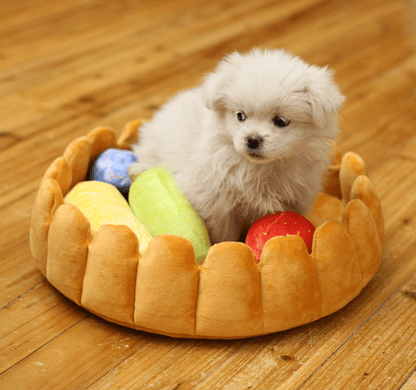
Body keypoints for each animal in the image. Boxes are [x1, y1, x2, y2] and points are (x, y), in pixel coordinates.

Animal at [130, 48, 344, 244]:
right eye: (240, 116)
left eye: (280, 121)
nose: (252, 139)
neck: (259, 169)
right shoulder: (217, 205)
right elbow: (225, 236)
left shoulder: (297, 197)